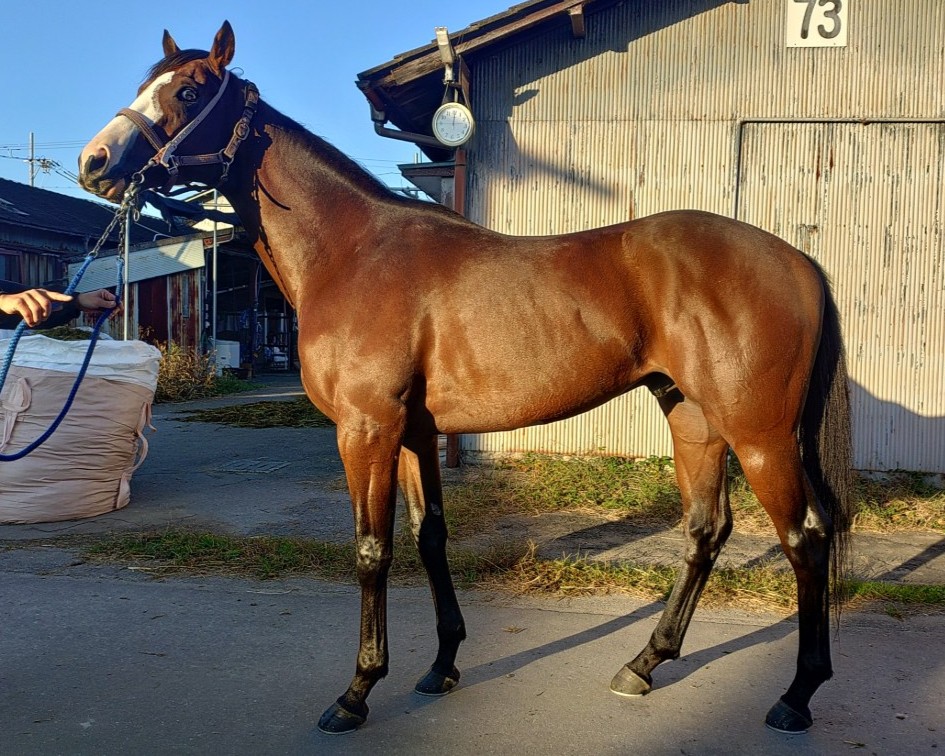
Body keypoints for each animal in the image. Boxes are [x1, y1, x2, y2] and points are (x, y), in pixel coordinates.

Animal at [78, 21, 854, 737]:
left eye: (188, 91)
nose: (95, 161)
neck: (353, 252)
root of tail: (798, 261)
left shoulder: (366, 431)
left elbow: (372, 551)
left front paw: (356, 692)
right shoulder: (414, 435)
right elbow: (430, 538)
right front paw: (441, 665)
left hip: (760, 436)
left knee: (805, 538)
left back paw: (795, 695)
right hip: (693, 420)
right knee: (704, 532)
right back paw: (643, 664)